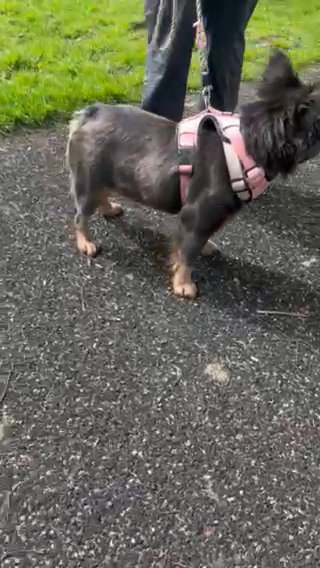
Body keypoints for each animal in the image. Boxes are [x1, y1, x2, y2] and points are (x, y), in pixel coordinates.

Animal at [66, 51, 320, 300]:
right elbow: (187, 253)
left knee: (102, 197)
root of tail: (89, 114)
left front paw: (206, 248)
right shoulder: (197, 213)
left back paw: (110, 210)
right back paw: (87, 243)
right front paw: (184, 285)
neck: (248, 145)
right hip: (88, 181)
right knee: (81, 216)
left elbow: (200, 240)